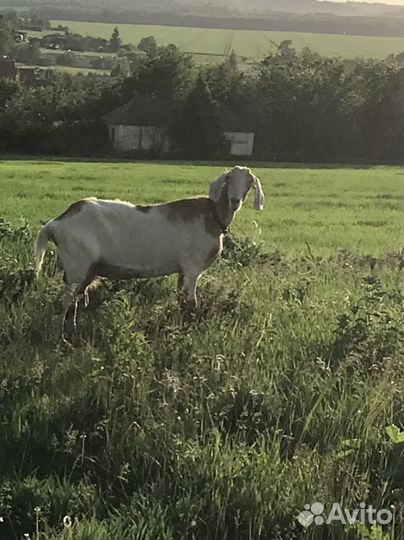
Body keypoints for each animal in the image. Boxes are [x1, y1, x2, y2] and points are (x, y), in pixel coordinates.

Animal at [34, 166, 266, 342]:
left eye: (249, 182)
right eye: (229, 178)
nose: (235, 200)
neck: (212, 217)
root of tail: (55, 224)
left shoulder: (182, 271)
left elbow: (181, 302)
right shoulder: (192, 269)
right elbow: (191, 306)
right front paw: (188, 335)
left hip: (85, 270)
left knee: (72, 301)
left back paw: (72, 333)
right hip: (78, 265)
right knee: (62, 302)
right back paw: (59, 339)